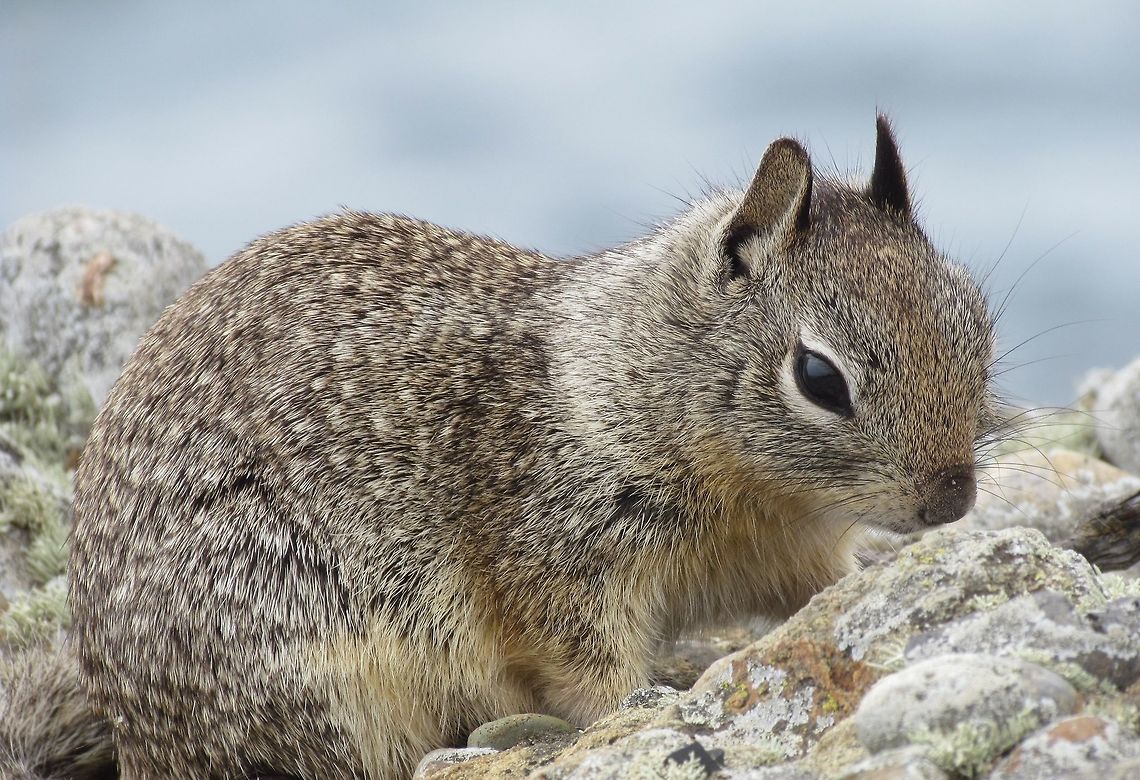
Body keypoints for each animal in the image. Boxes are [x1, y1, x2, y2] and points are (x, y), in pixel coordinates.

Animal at [62, 115, 996, 779]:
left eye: (975, 317)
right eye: (818, 376)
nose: (953, 498)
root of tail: (139, 738)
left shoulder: (783, 551)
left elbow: (823, 589)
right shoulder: (556, 558)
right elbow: (586, 667)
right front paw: (640, 706)